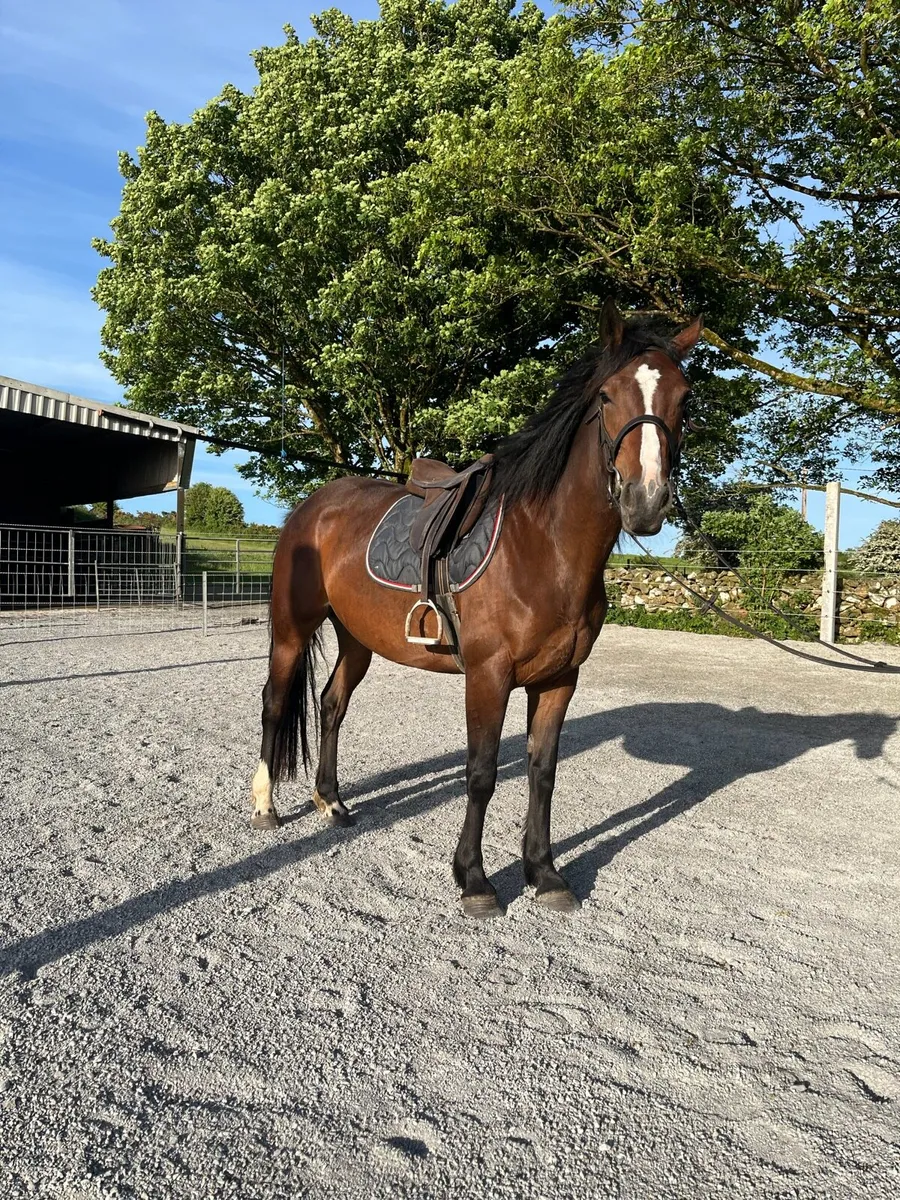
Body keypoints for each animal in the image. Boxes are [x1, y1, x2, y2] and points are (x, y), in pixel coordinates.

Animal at [250, 299, 703, 917]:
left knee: (332, 705)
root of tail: (312, 506)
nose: (646, 500)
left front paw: (545, 873)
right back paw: (266, 806)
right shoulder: (488, 676)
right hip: (292, 628)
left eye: (684, 397)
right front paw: (475, 880)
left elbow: (542, 772)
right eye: (608, 396)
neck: (542, 547)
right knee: (276, 704)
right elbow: (483, 772)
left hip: (357, 639)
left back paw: (331, 802)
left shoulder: (559, 680)